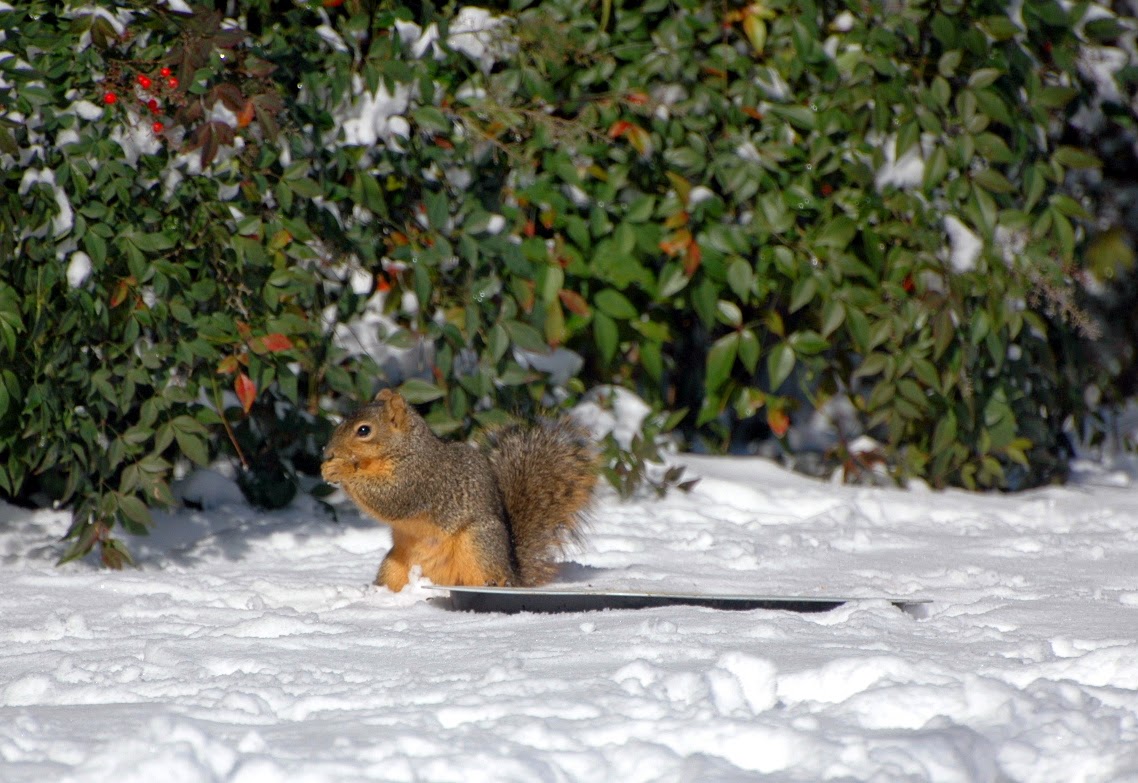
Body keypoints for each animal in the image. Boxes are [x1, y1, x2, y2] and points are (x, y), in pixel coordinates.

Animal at [320, 389, 598, 591]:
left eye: (364, 430)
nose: (327, 452)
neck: (406, 448)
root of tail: (513, 572)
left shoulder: (419, 479)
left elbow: (391, 499)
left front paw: (341, 469)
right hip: (394, 565)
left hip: (478, 545)